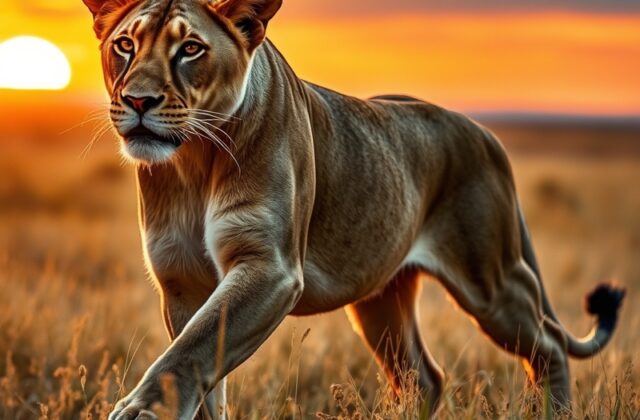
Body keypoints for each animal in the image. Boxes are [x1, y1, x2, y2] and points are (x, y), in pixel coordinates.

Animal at [80, 0, 625, 418]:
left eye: (190, 48)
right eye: (125, 45)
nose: (139, 101)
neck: (193, 159)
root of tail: (486, 134)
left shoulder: (272, 268)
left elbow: (189, 352)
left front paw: (139, 411)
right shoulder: (181, 279)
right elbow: (198, 365)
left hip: (490, 279)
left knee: (547, 347)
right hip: (381, 300)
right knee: (423, 376)